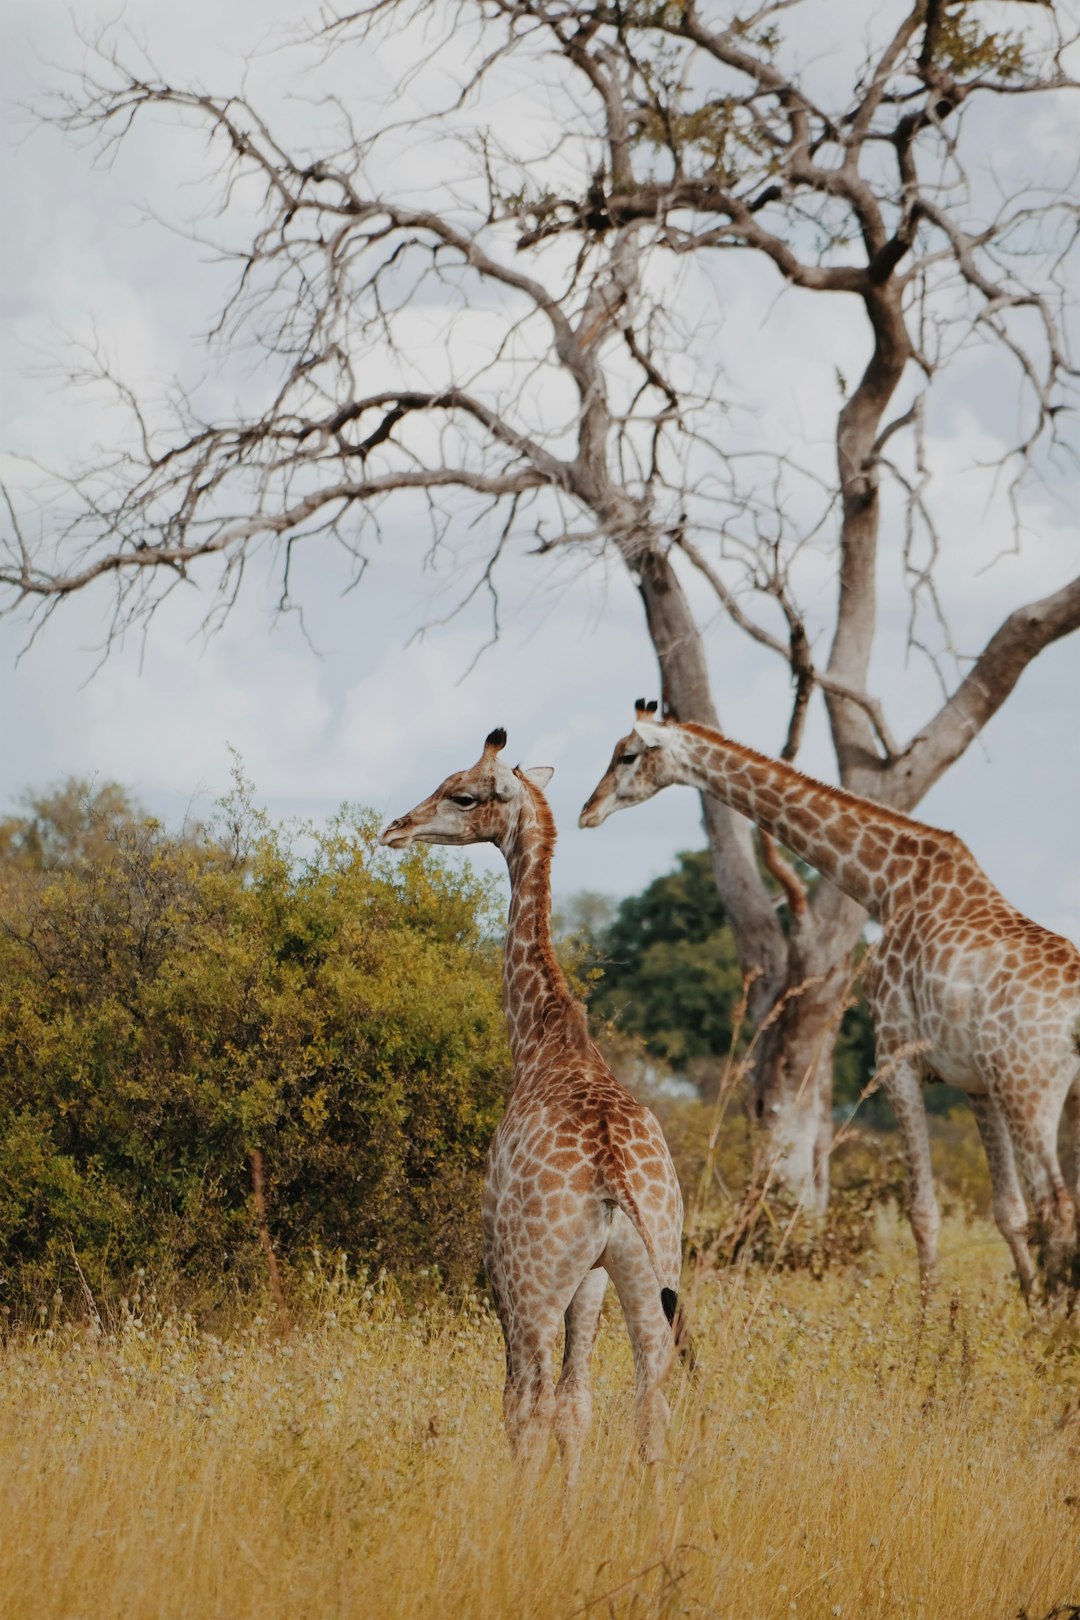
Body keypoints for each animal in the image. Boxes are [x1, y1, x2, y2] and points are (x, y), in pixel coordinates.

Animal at [380, 732, 683, 1483]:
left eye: (462, 794)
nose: (395, 829)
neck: (542, 1038)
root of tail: (615, 1174)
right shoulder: (593, 1278)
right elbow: (579, 1408)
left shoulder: (500, 1263)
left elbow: (527, 1404)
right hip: (652, 1275)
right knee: (650, 1406)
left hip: (532, 1279)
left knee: (528, 1400)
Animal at [582, 703, 1080, 1296]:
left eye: (628, 755)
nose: (587, 811)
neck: (886, 885)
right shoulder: (974, 1083)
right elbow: (1007, 1211)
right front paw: (1023, 1300)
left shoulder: (897, 1058)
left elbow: (923, 1210)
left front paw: (930, 1313)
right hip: (1042, 1092)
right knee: (1052, 1207)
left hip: (1028, 1090)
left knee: (1058, 1205)